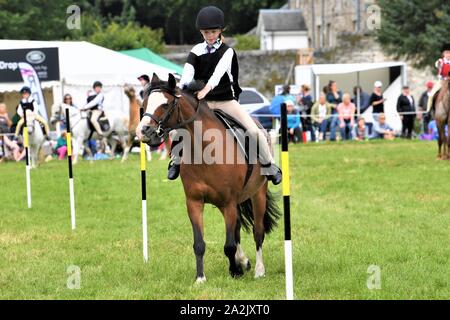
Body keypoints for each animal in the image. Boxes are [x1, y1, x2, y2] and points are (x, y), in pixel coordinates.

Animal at [135, 73, 280, 282]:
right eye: (145, 103)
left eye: (166, 104)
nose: (143, 131)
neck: (204, 149)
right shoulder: (195, 203)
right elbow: (199, 243)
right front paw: (201, 278)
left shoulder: (229, 203)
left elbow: (229, 245)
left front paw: (234, 271)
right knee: (237, 230)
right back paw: (243, 261)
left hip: (257, 194)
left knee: (257, 231)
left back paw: (259, 270)